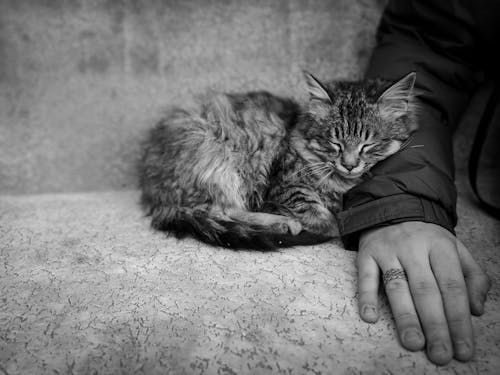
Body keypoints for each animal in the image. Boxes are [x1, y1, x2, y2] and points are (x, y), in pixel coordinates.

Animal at [138, 72, 418, 251]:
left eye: (367, 145)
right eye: (334, 143)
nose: (349, 164)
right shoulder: (285, 186)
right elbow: (322, 216)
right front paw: (331, 224)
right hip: (222, 163)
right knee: (222, 210)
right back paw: (282, 224)